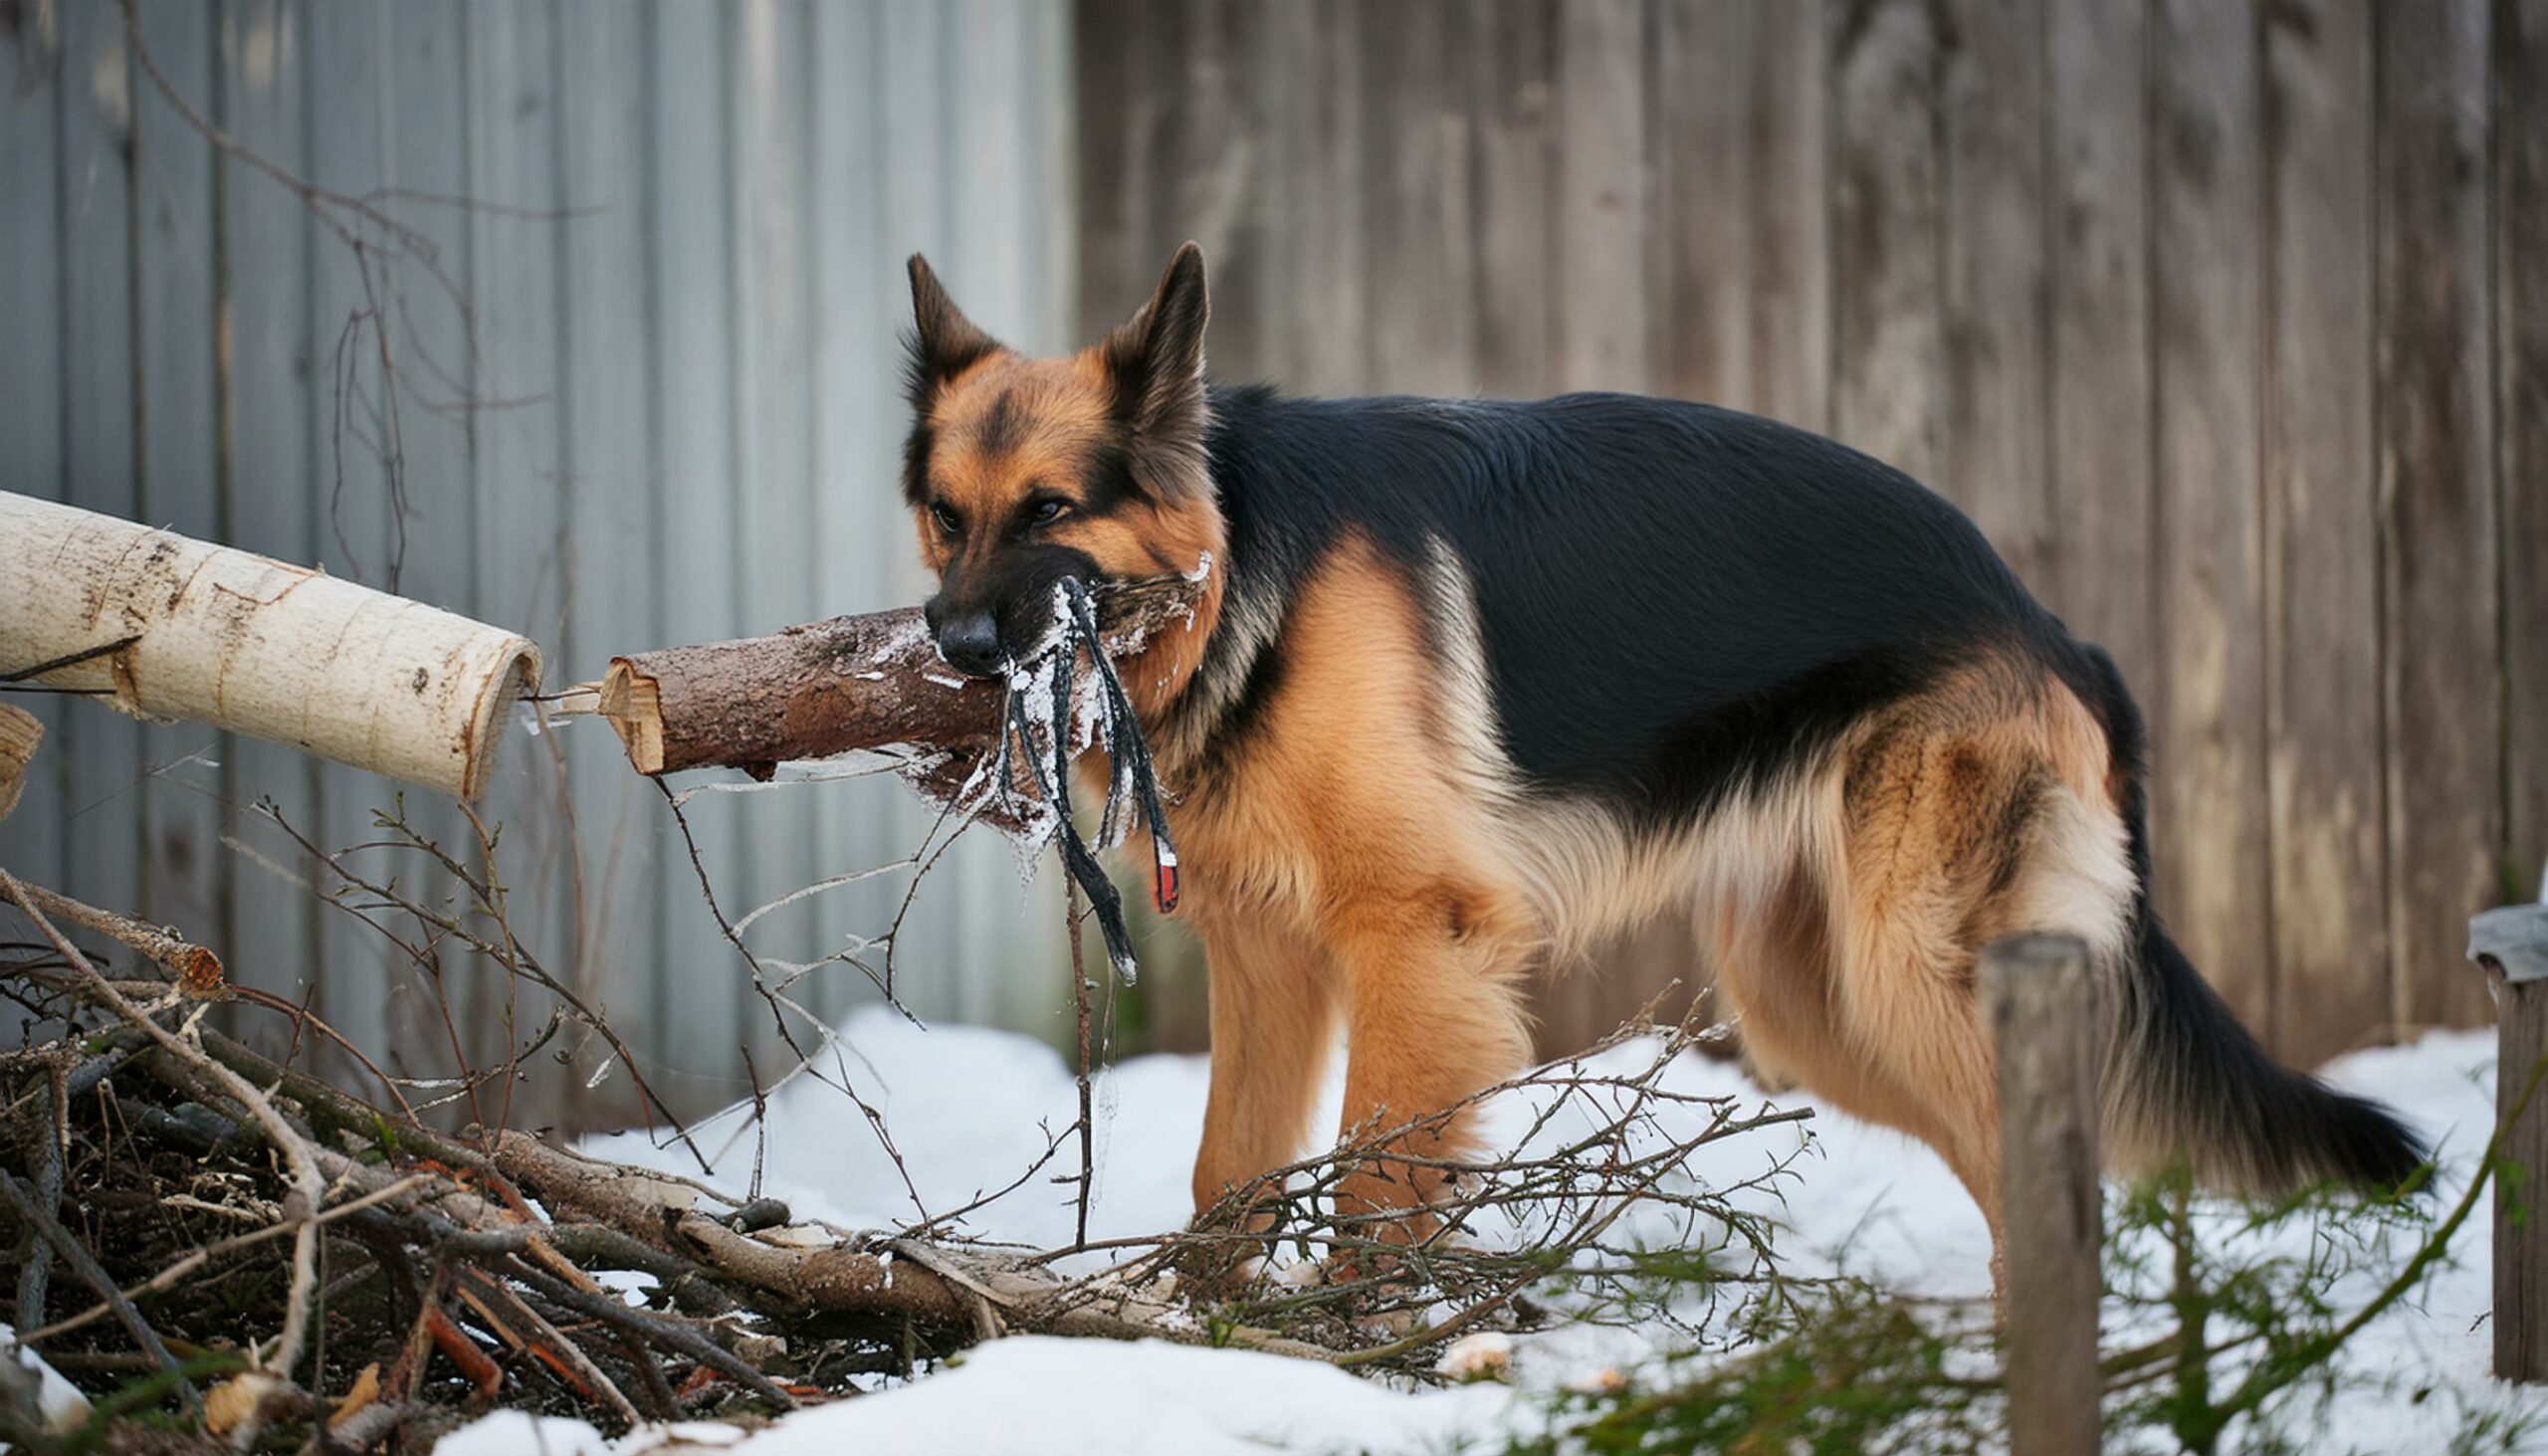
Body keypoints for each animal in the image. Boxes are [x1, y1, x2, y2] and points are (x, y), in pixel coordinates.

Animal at [902, 244, 2426, 1269]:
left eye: (1051, 509)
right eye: (942, 513)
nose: (956, 647)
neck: (1240, 568)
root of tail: (2048, 622)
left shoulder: (1420, 942)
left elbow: (1378, 1189)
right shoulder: (1270, 959)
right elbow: (1231, 1171)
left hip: (1911, 970)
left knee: (2055, 1181)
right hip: (1820, 1007)